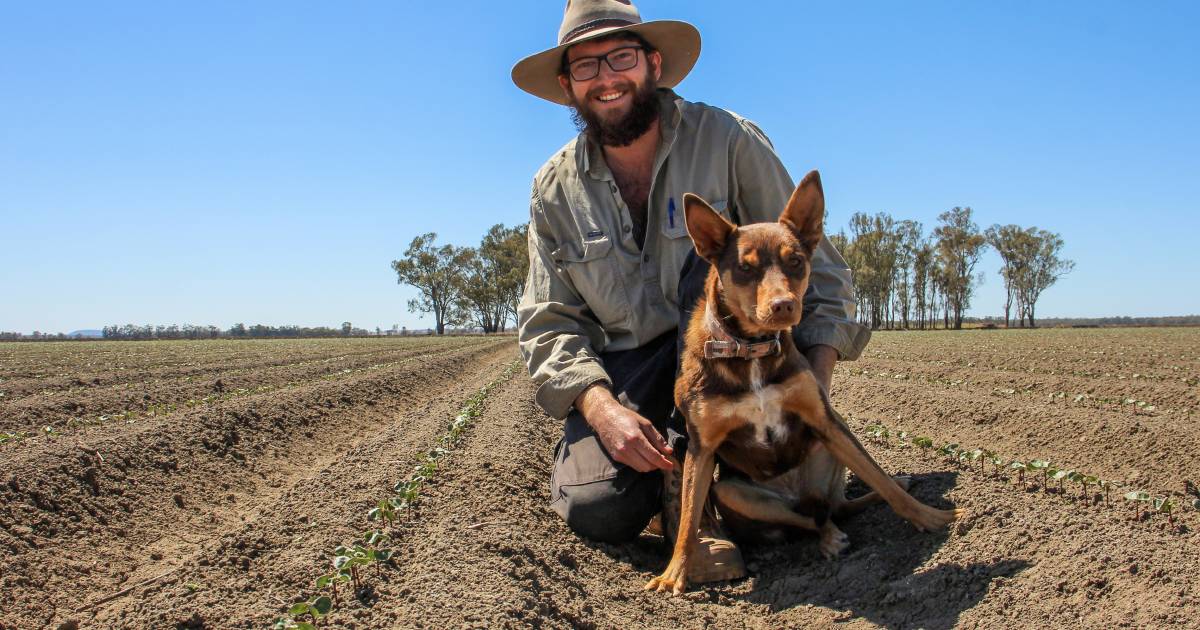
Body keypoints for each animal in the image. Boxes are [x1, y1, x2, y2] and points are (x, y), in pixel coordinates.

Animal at [643, 169, 960, 592]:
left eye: (795, 261)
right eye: (745, 268)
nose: (783, 306)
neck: (751, 352)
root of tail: (795, 493)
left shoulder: (824, 419)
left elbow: (881, 479)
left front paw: (931, 517)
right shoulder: (702, 448)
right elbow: (689, 521)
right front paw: (673, 573)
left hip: (830, 448)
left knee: (837, 506)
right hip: (734, 490)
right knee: (811, 519)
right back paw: (828, 538)